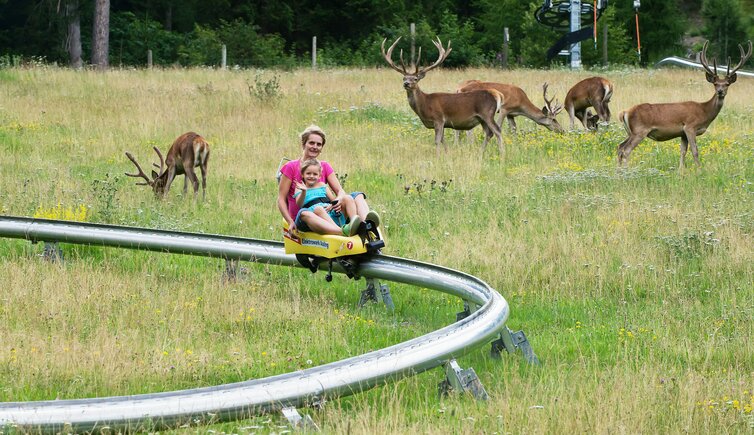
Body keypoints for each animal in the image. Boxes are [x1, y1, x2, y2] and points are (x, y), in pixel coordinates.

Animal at [612, 40, 748, 170]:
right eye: (715, 84)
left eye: (726, 84)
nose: (720, 91)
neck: (704, 112)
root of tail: (624, 112)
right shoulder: (690, 127)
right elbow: (695, 151)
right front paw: (699, 170)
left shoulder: (682, 133)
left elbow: (683, 152)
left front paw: (681, 171)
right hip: (639, 131)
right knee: (626, 150)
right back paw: (626, 171)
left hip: (630, 132)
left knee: (619, 147)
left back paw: (618, 172)